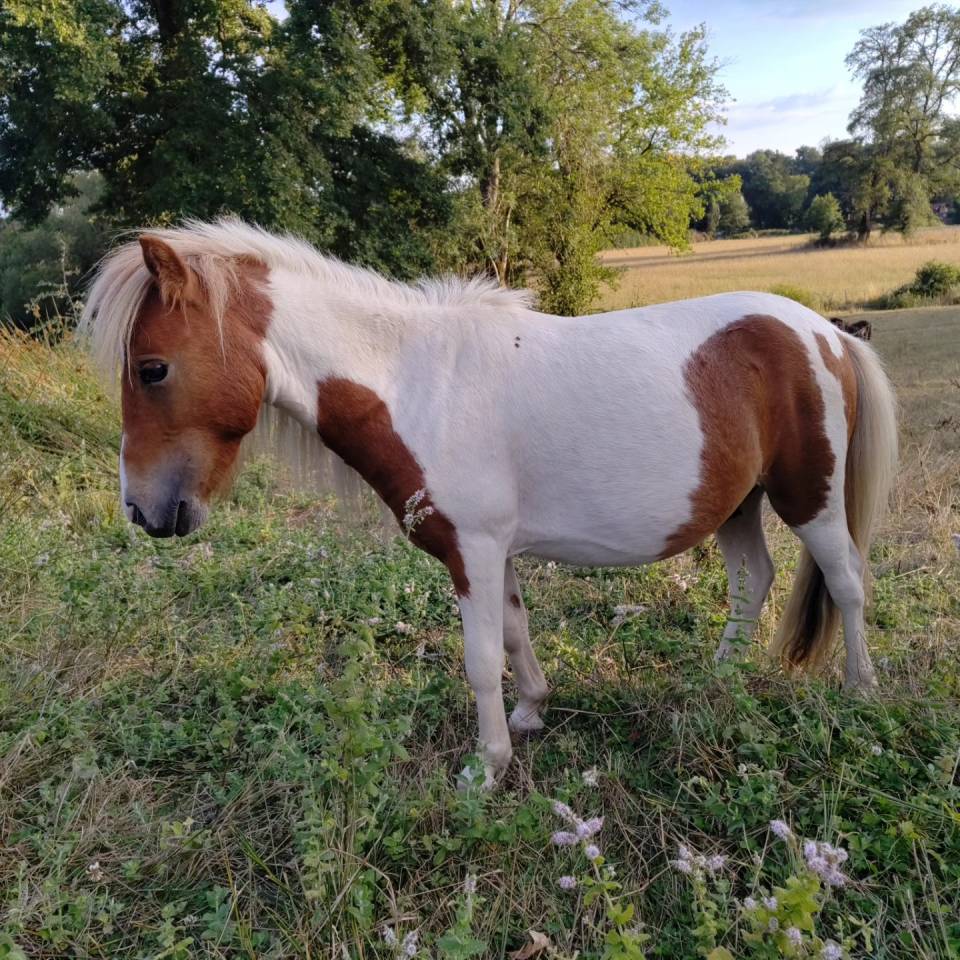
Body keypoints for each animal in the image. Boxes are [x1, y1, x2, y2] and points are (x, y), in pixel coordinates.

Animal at [82, 219, 898, 789]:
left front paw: (487, 766)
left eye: (152, 369)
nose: (143, 510)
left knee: (847, 583)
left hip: (809, 498)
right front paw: (532, 710)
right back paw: (713, 685)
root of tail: (826, 332)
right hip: (737, 503)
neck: (416, 382)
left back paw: (861, 693)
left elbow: (478, 659)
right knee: (752, 582)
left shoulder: (470, 549)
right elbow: (512, 634)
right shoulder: (492, 550)